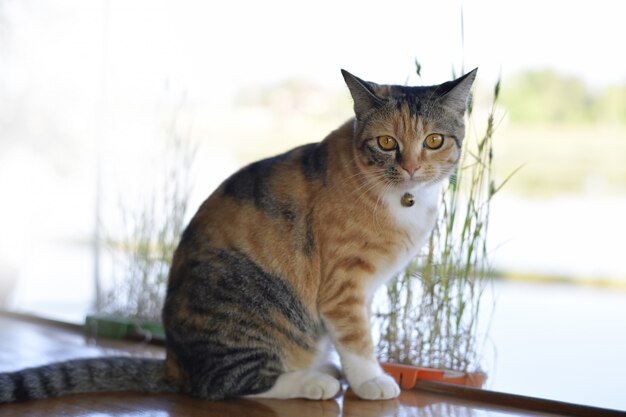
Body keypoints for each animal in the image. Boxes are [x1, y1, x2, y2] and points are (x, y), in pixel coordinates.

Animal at [0, 68, 472, 404]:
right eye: (386, 142)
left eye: (434, 140)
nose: (411, 167)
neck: (401, 197)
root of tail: (174, 362)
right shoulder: (344, 285)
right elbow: (357, 339)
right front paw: (372, 381)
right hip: (256, 307)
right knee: (223, 385)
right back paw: (312, 382)